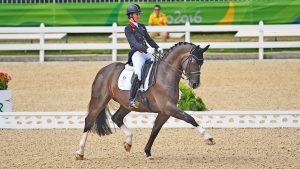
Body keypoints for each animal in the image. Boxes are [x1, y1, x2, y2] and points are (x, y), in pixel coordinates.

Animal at [75, 41, 216, 160]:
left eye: (202, 62)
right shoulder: (169, 107)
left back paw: (128, 143)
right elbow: (190, 118)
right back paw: (80, 153)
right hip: (100, 100)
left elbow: (155, 130)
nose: (195, 84)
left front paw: (147, 152)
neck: (165, 74)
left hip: (126, 105)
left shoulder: (165, 112)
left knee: (116, 118)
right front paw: (208, 138)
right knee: (89, 121)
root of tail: (103, 70)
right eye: (194, 61)